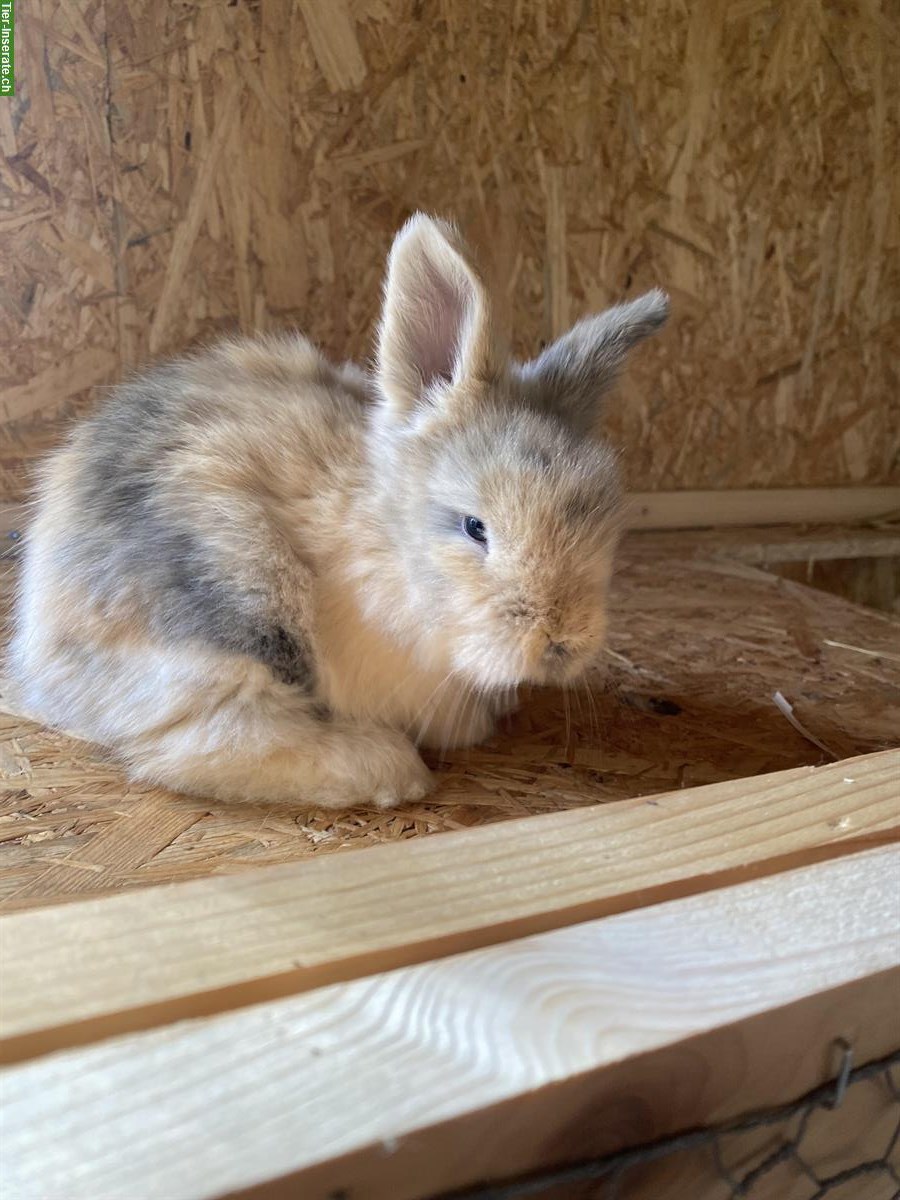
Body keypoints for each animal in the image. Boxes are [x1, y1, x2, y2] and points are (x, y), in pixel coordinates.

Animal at [9, 214, 668, 809]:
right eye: (475, 527)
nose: (562, 642)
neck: (380, 547)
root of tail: (38, 646)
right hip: (236, 592)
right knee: (192, 741)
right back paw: (389, 769)